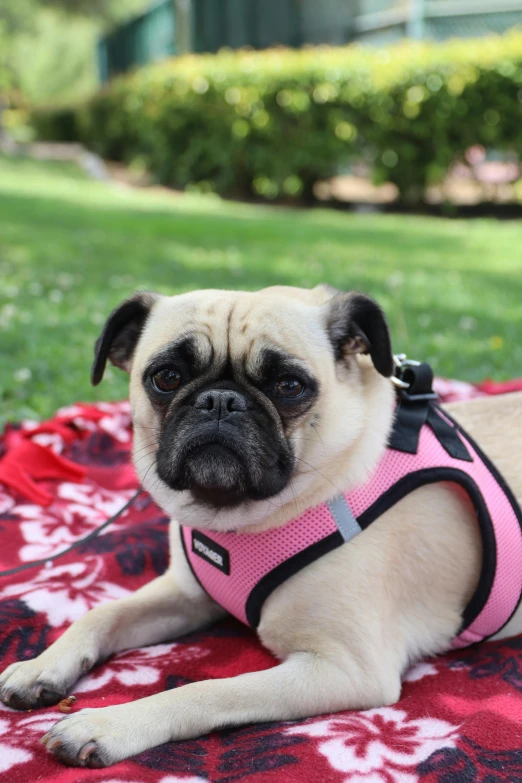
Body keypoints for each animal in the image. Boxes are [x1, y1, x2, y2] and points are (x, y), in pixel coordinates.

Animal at [1, 284, 520, 768]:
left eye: (290, 385)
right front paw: (41, 666)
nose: (219, 401)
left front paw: (111, 724)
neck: (239, 520)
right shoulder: (187, 596)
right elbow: (101, 613)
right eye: (166, 378)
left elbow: (207, 689)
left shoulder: (347, 668)